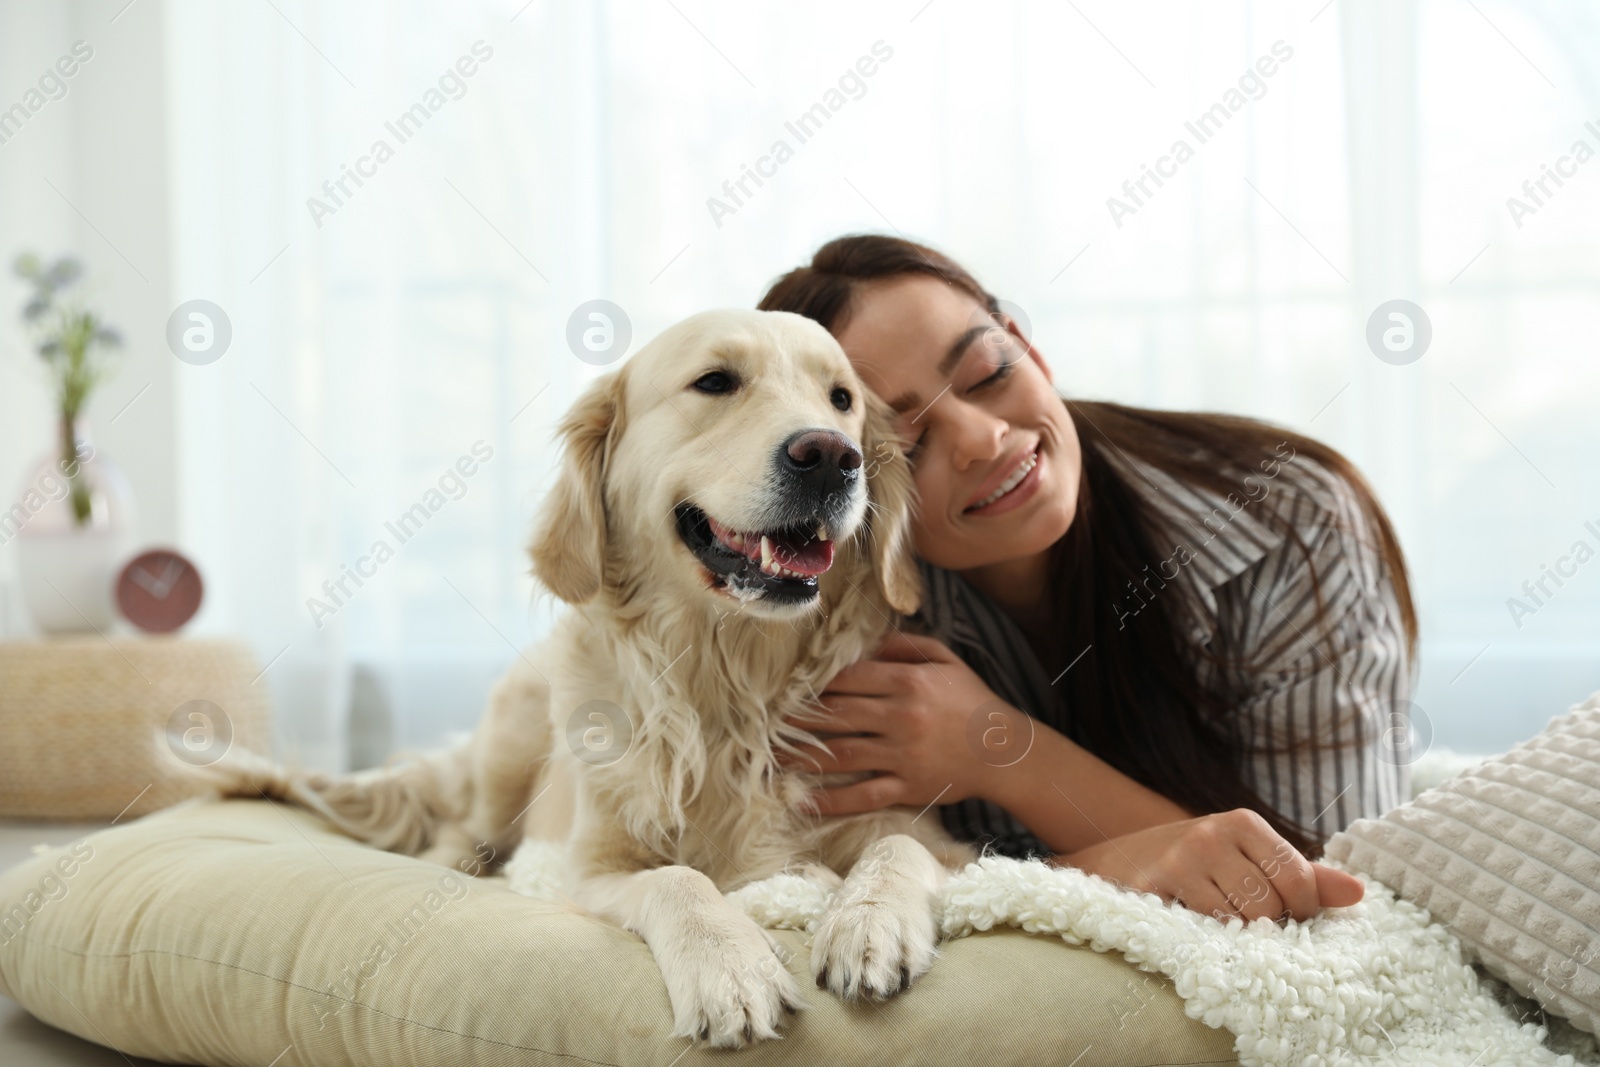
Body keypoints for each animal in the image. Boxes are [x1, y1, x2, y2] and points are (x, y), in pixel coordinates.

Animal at [188, 307, 985, 1043]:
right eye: (715, 382)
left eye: (842, 398)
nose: (830, 456)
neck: (731, 688)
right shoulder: (593, 867)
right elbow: (680, 879)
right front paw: (731, 968)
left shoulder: (927, 833)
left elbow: (898, 847)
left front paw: (867, 923)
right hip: (512, 734)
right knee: (465, 824)